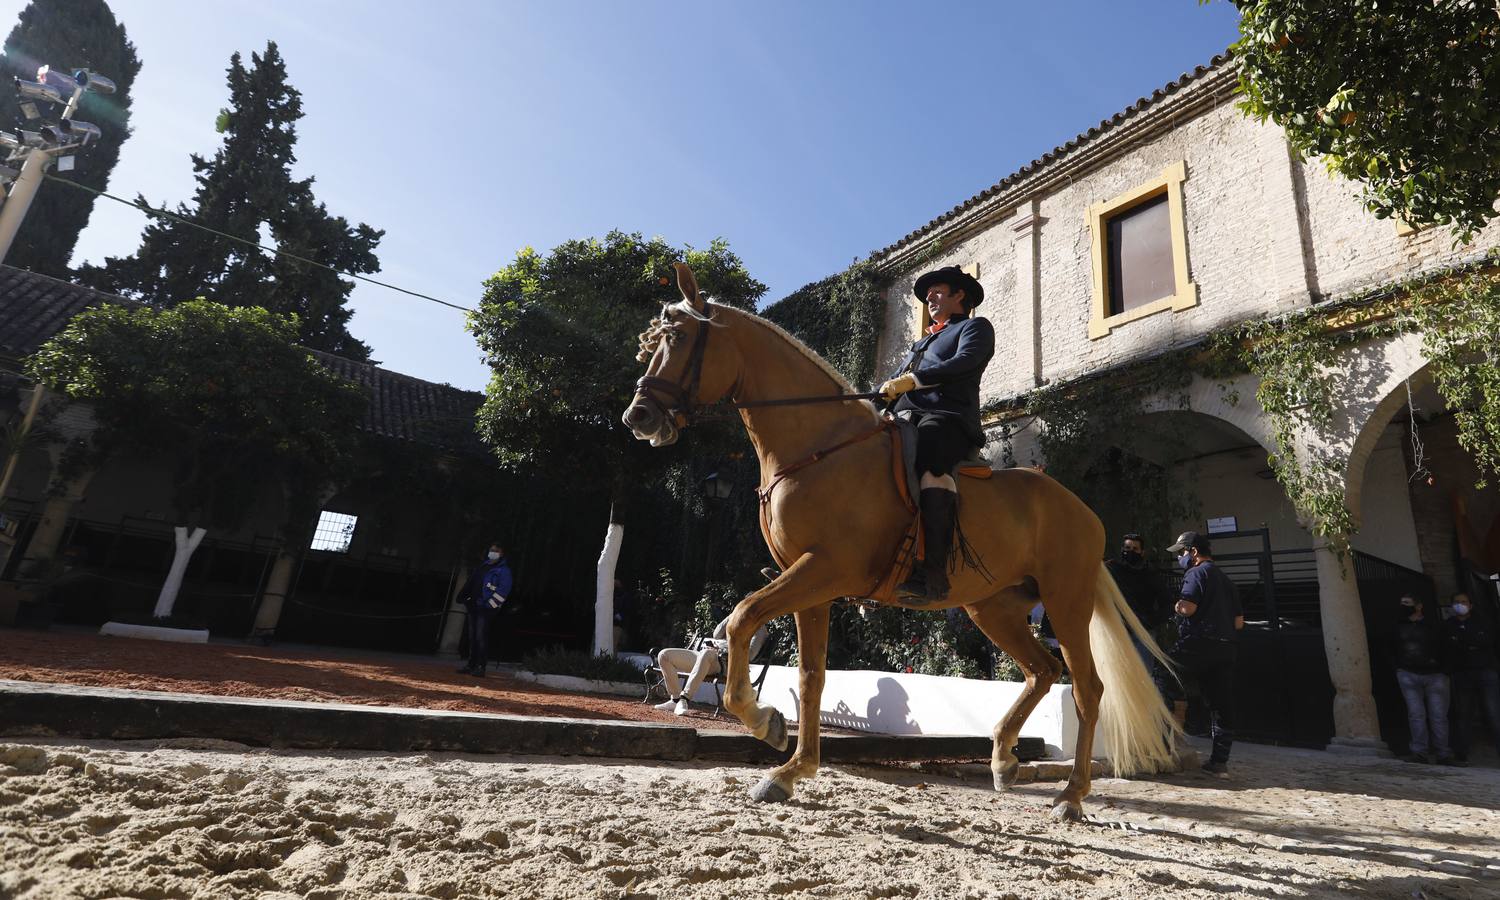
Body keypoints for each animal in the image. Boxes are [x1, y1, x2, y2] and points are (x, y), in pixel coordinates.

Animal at [621, 264, 1182, 822]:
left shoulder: (823, 571)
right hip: (993, 608)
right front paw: (791, 769)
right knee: (1043, 672)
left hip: (1065, 603)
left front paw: (766, 724)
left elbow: (740, 619)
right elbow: (810, 676)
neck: (819, 448)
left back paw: (1071, 795)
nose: (638, 417)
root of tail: (1080, 509)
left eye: (677, 339)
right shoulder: (810, 585)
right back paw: (1004, 759)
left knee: (1086, 688)